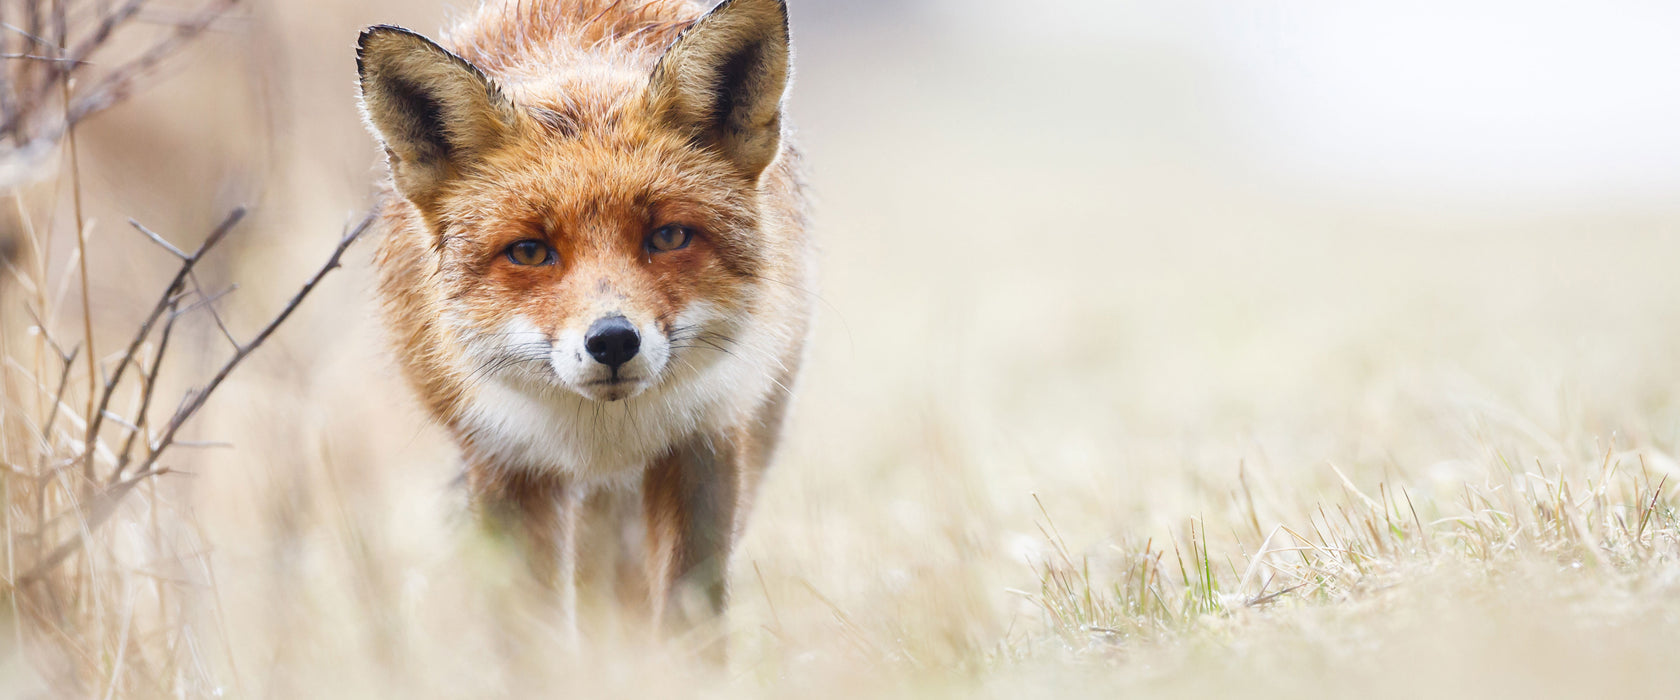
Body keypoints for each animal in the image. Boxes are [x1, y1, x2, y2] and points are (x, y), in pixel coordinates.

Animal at [357, 0, 816, 647]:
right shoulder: (505, 465)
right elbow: (532, 634)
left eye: (668, 236)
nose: (613, 341)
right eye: (529, 251)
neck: (605, 435)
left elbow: (688, 618)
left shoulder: (704, 442)